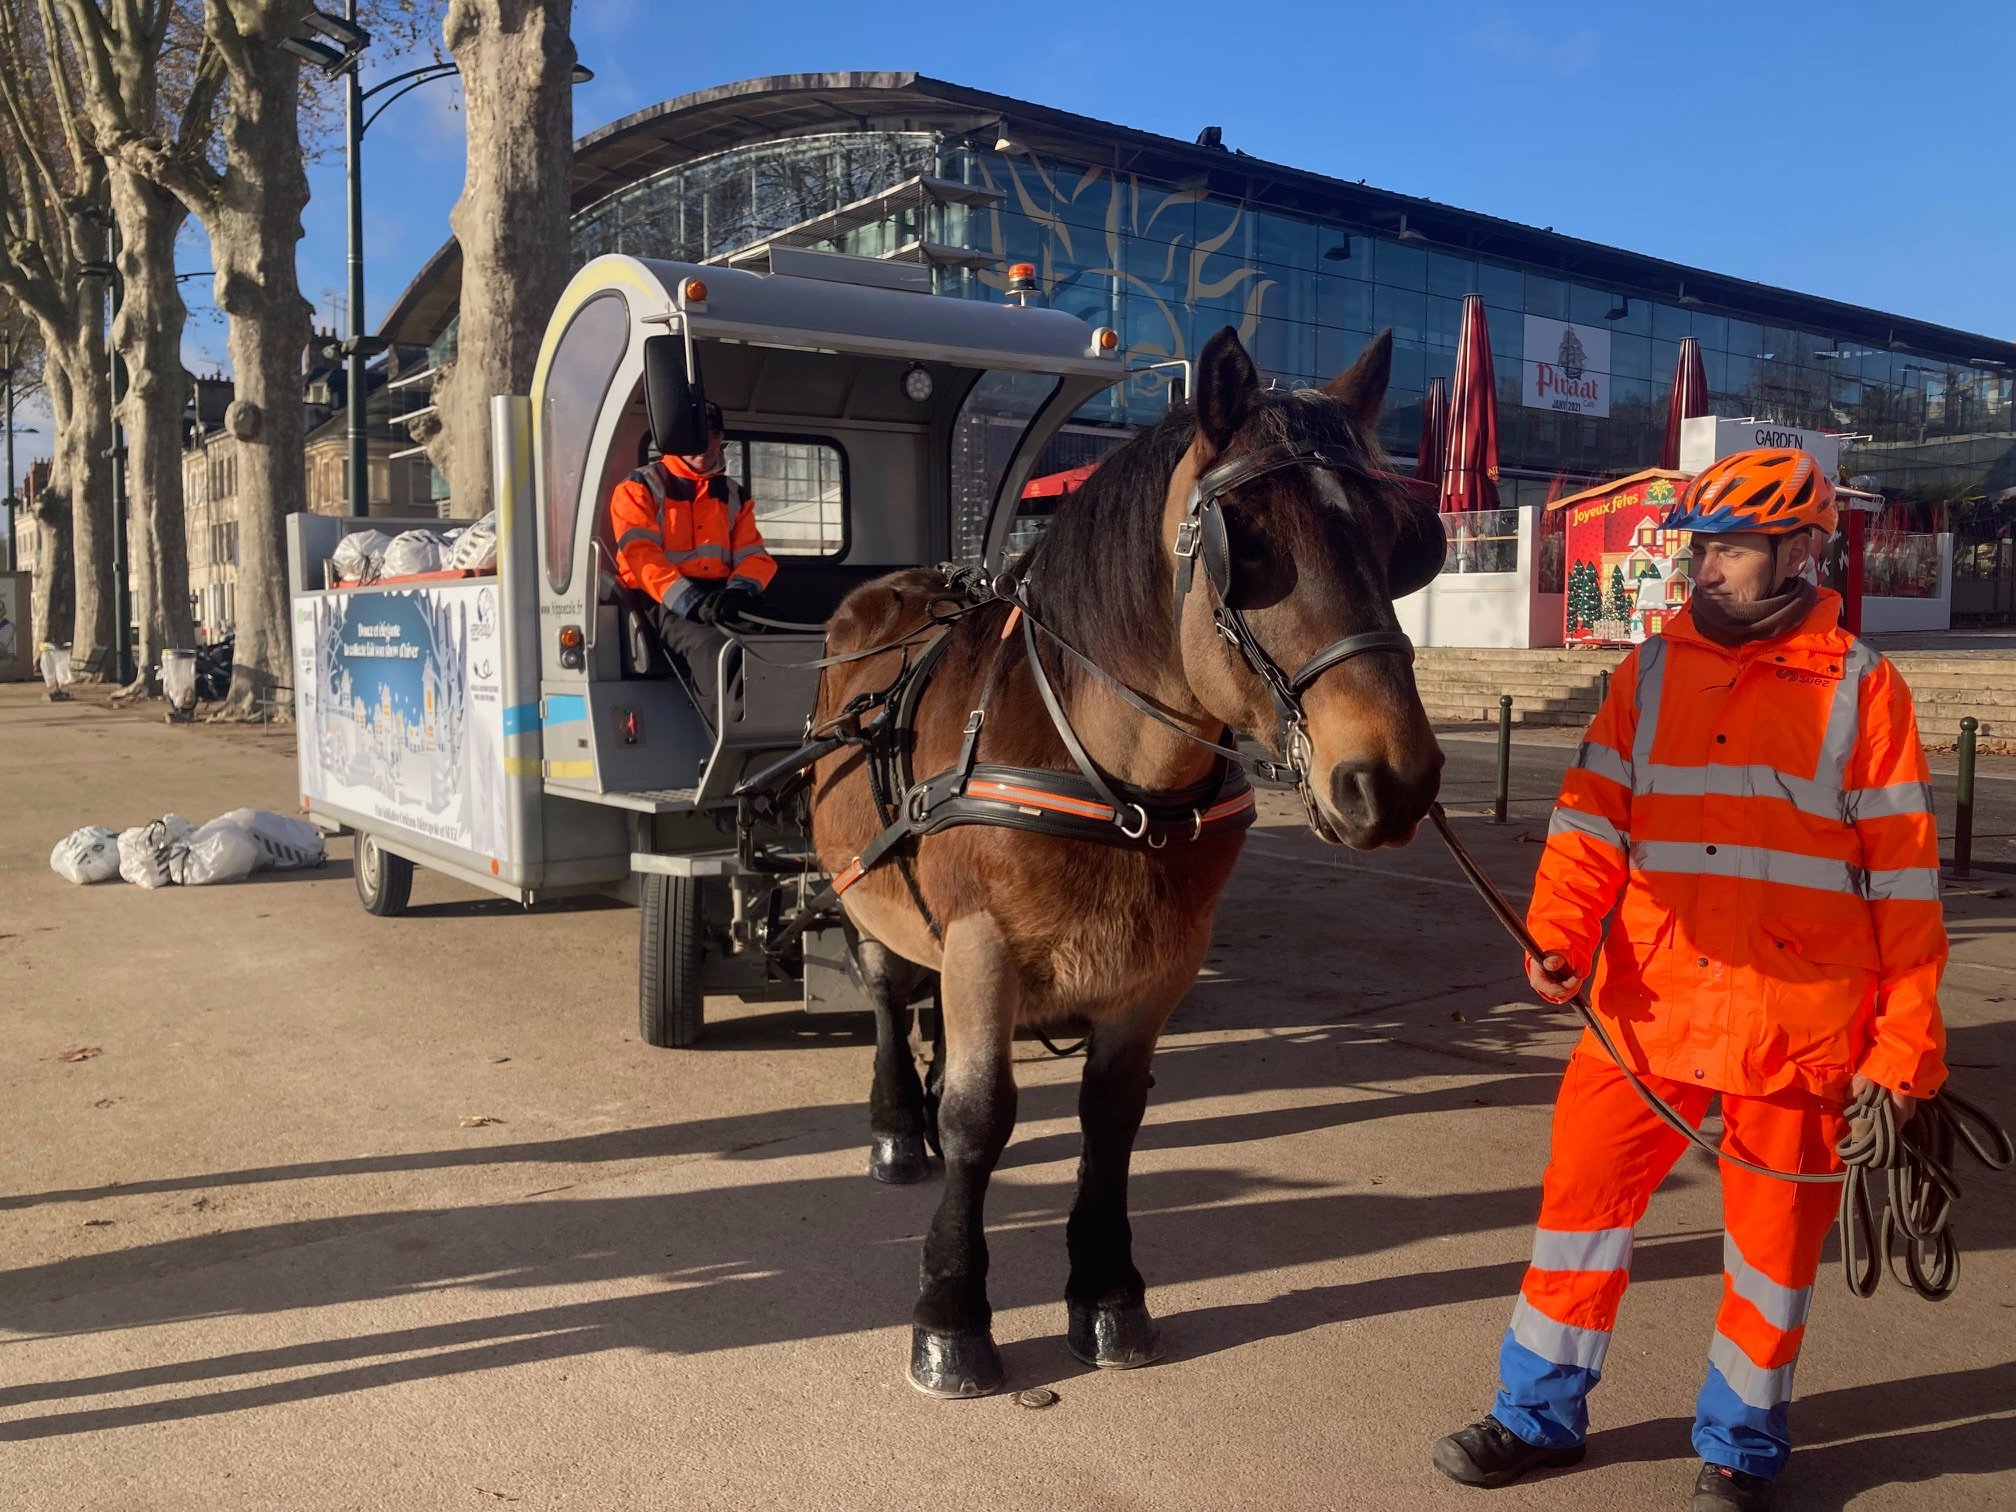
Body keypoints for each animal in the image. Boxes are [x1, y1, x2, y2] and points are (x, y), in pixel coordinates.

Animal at [802, 326, 1451, 1403]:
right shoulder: (982, 943)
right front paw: (951, 1315)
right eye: (1247, 545)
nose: (1391, 779)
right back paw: (900, 1125)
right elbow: (980, 1116)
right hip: (869, 887)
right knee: (893, 992)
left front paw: (1106, 1292)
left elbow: (1111, 1118)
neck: (1111, 778)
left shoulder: (1161, 965)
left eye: (1401, 541)